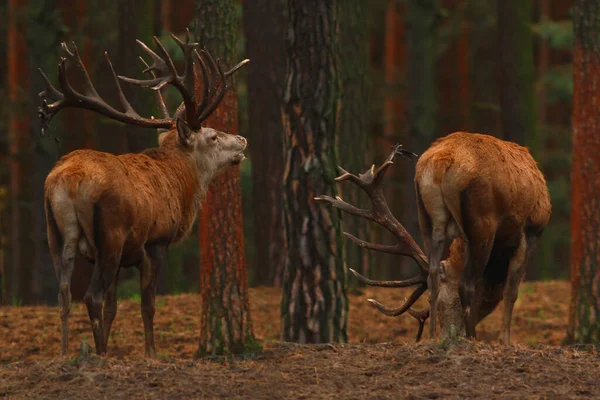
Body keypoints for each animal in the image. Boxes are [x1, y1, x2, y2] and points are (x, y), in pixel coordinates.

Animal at [38, 30, 248, 356]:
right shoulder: (156, 242)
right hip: (110, 236)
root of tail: (69, 181)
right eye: (213, 136)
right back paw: (100, 354)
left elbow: (113, 308)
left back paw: (66, 353)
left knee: (65, 294)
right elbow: (147, 305)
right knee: (91, 296)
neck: (180, 185)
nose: (242, 139)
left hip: (55, 233)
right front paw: (151, 354)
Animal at [316, 133, 552, 346]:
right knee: (468, 283)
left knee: (433, 274)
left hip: (427, 218)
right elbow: (510, 290)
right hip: (482, 222)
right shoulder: (532, 229)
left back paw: (432, 337)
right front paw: (505, 341)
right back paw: (472, 339)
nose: (450, 335)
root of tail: (441, 162)